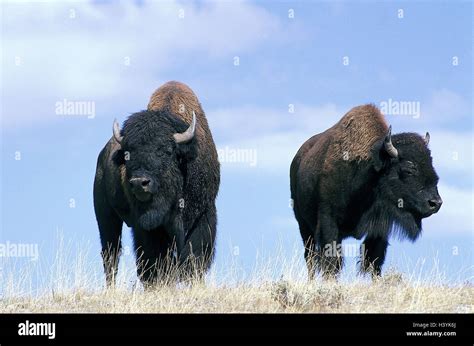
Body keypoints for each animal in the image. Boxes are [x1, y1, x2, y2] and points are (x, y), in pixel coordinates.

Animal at [94, 81, 220, 286]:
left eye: (166, 151)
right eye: (127, 153)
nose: (139, 183)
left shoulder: (203, 215)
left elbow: (194, 255)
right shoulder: (146, 225)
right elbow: (153, 258)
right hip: (106, 216)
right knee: (111, 254)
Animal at [290, 103, 442, 278]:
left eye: (431, 165)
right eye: (409, 169)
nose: (436, 203)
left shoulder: (380, 227)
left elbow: (374, 259)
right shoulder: (328, 221)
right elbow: (332, 259)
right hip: (303, 224)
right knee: (310, 256)